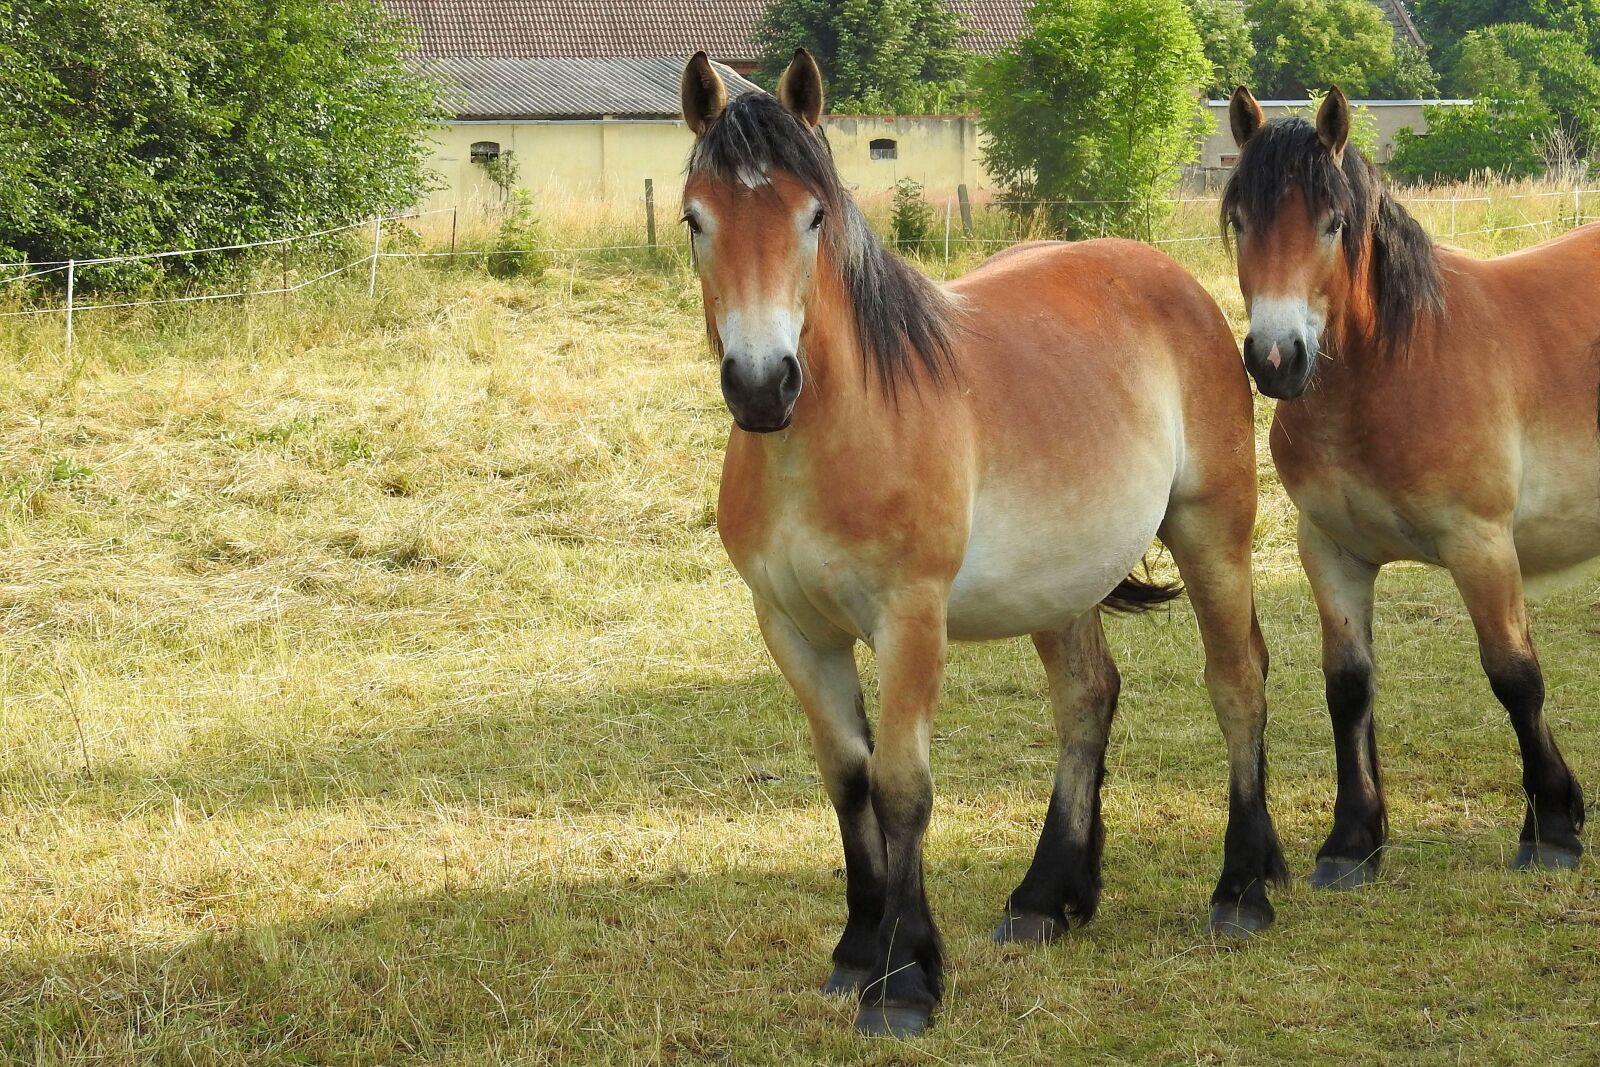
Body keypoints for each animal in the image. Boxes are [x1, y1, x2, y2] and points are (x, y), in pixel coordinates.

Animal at [678, 49, 1286, 1037]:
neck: (835, 434)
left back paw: (1242, 887)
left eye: (814, 215)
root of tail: (1170, 278)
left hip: (1213, 532)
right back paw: (1046, 897)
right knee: (1086, 699)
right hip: (1059, 582)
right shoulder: (792, 629)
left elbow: (902, 787)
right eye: (697, 218)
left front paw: (903, 980)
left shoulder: (910, 620)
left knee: (1237, 682)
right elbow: (846, 780)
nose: (763, 384)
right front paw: (857, 952)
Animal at [1224, 86, 1595, 889]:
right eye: (1239, 221)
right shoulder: (1331, 551)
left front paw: (1553, 826)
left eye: (1333, 223)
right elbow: (1347, 684)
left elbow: (1515, 676)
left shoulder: (1481, 545)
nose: (1275, 358)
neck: (1396, 368)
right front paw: (1351, 839)